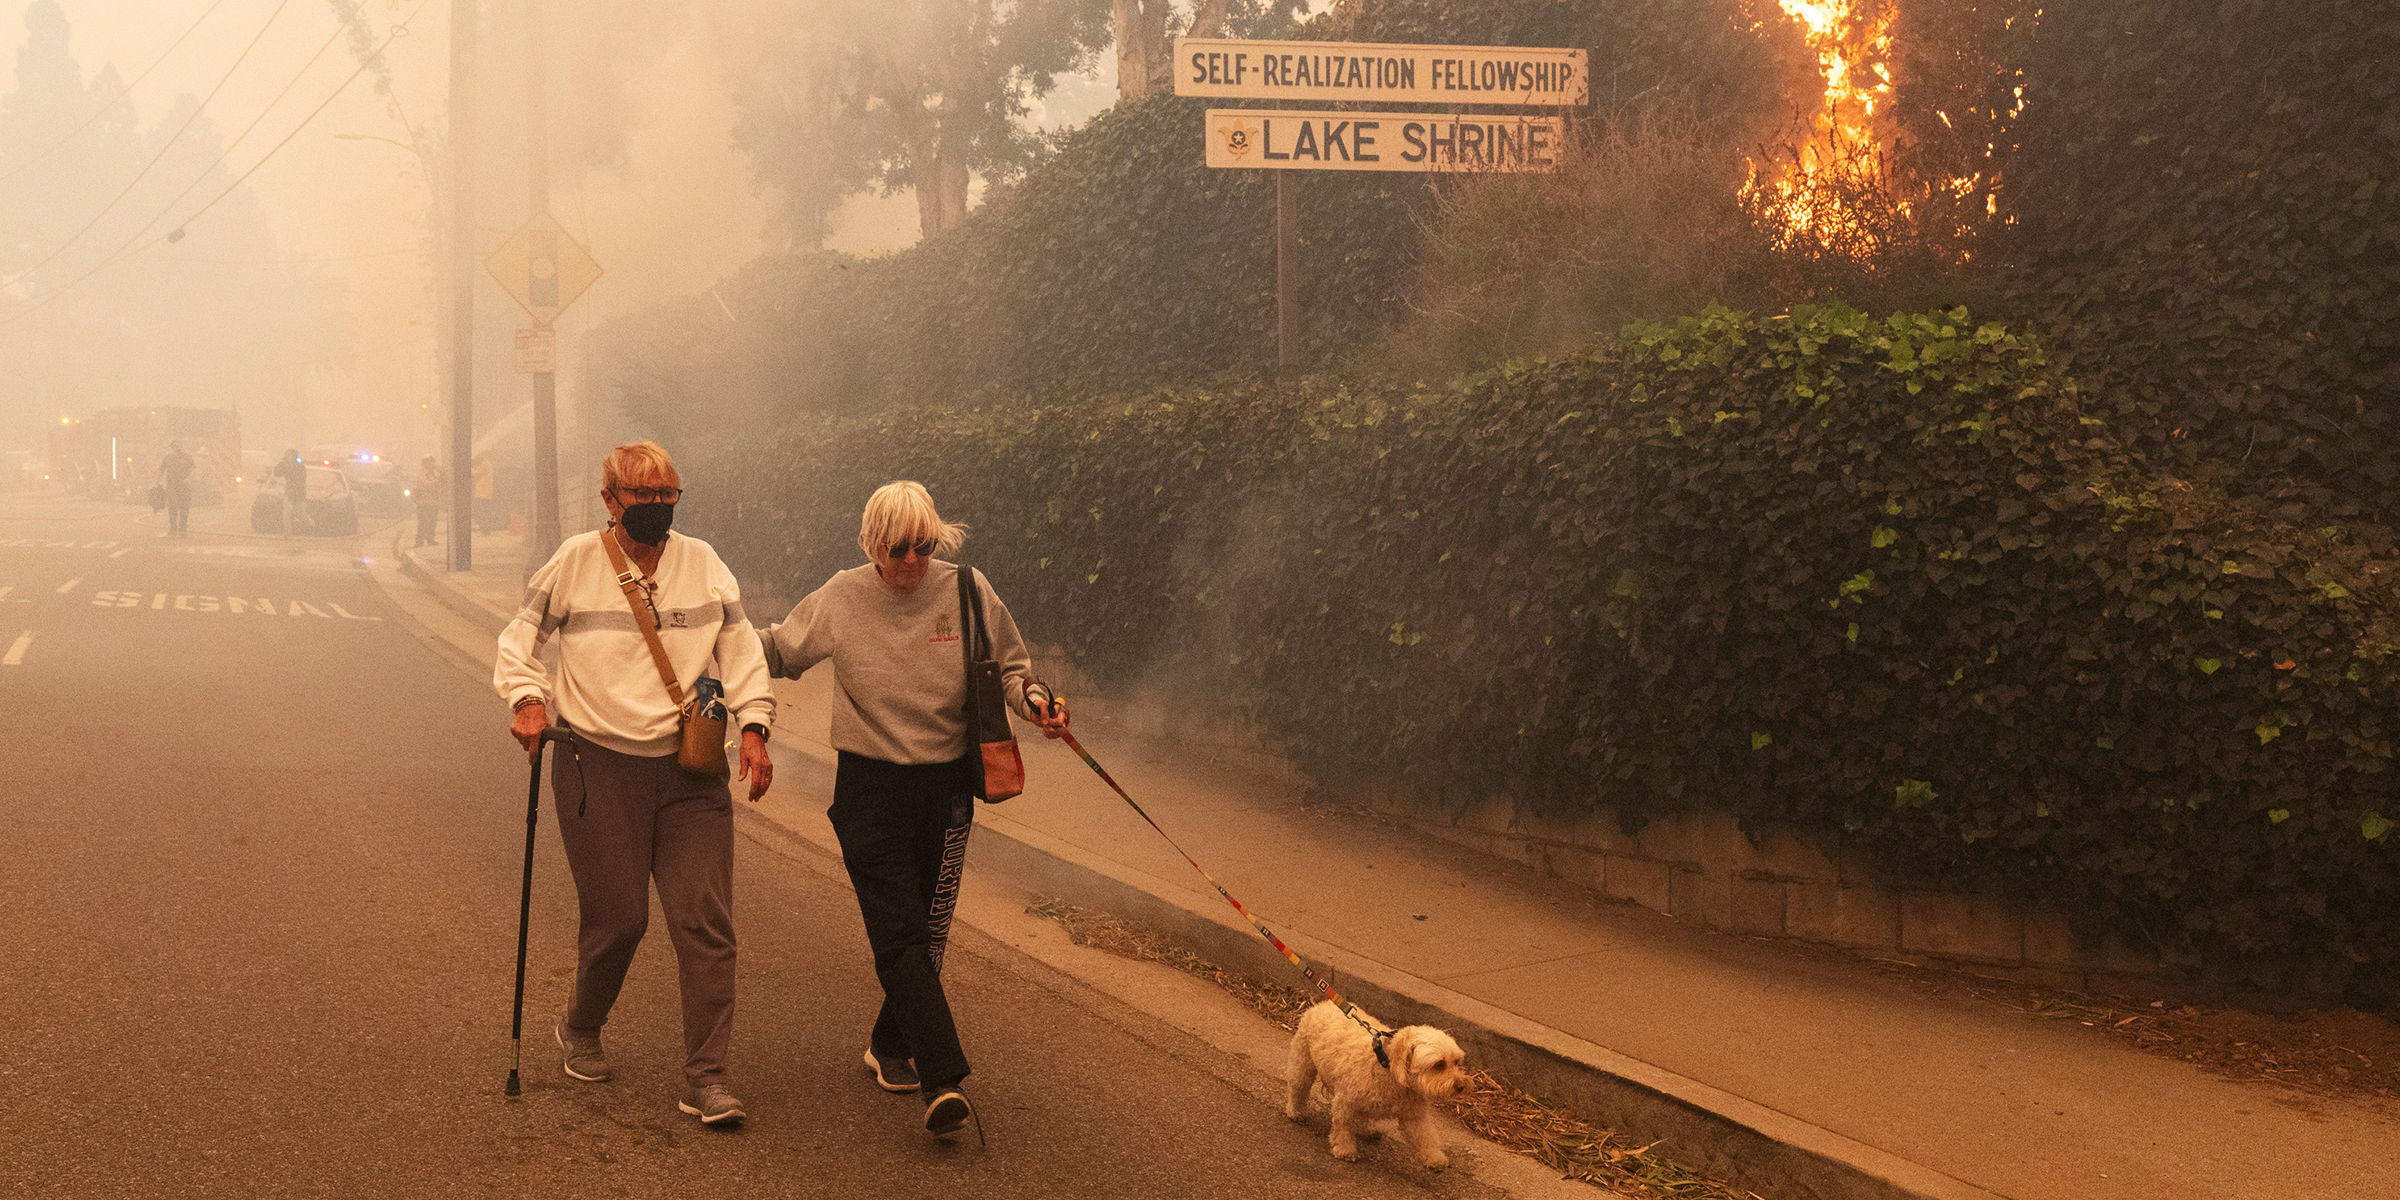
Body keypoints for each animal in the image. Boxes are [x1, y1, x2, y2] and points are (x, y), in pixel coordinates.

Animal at [1286, 998, 1468, 1166]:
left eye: (1457, 1062)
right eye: (1439, 1065)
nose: (1462, 1086)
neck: (1387, 1067)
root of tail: (1323, 1003)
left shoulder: (1413, 1116)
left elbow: (1426, 1136)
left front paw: (1435, 1157)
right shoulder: (1345, 1102)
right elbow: (1343, 1126)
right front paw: (1344, 1149)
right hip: (1303, 1064)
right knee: (1298, 1088)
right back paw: (1296, 1111)